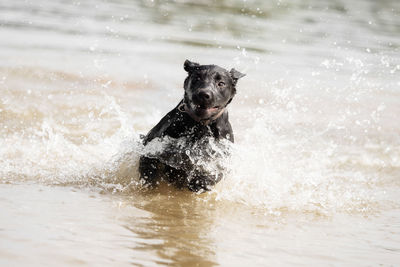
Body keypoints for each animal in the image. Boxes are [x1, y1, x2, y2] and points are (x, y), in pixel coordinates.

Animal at [139, 59, 245, 193]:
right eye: (197, 78)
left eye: (221, 83)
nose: (204, 94)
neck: (200, 126)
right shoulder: (153, 144)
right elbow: (149, 164)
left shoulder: (221, 158)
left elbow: (214, 173)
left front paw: (200, 181)